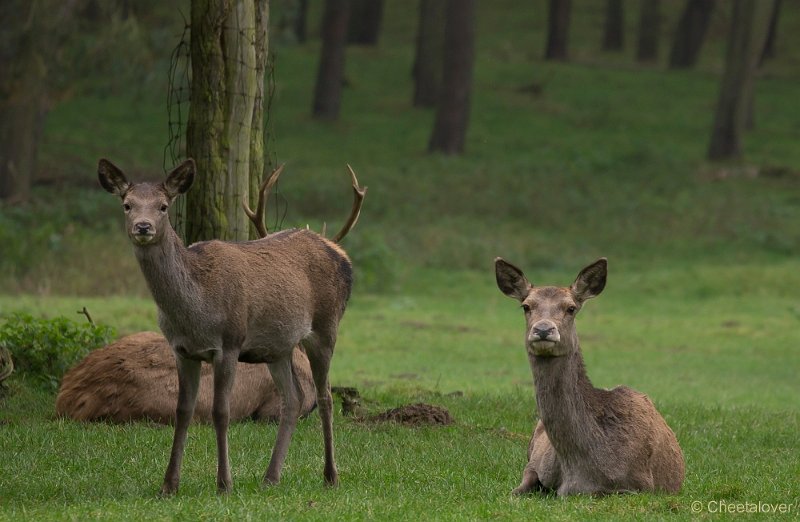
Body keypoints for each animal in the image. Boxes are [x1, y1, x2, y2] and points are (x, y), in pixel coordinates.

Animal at [96, 158, 366, 492]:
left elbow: (220, 411)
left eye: (163, 206)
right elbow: (182, 411)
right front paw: (169, 485)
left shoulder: (229, 342)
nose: (143, 227)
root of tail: (341, 254)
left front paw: (224, 482)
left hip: (326, 327)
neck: (196, 310)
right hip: (278, 348)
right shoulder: (181, 350)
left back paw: (330, 476)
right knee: (294, 398)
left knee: (326, 396)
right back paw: (270, 477)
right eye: (127, 205)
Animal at [490, 258, 684, 494]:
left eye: (571, 308)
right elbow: (516, 491)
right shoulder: (534, 467)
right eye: (526, 306)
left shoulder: (640, 485)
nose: (543, 329)